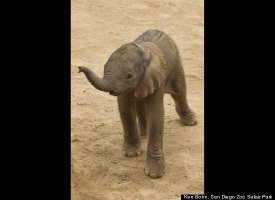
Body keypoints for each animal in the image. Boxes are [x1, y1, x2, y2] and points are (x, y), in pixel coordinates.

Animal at [78, 29, 197, 178]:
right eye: (104, 67)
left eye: (129, 75)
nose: (79, 68)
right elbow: (125, 108)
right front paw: (130, 154)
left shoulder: (155, 76)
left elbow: (156, 113)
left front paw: (154, 174)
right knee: (140, 103)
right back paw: (143, 134)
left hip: (176, 63)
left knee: (179, 92)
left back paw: (191, 122)